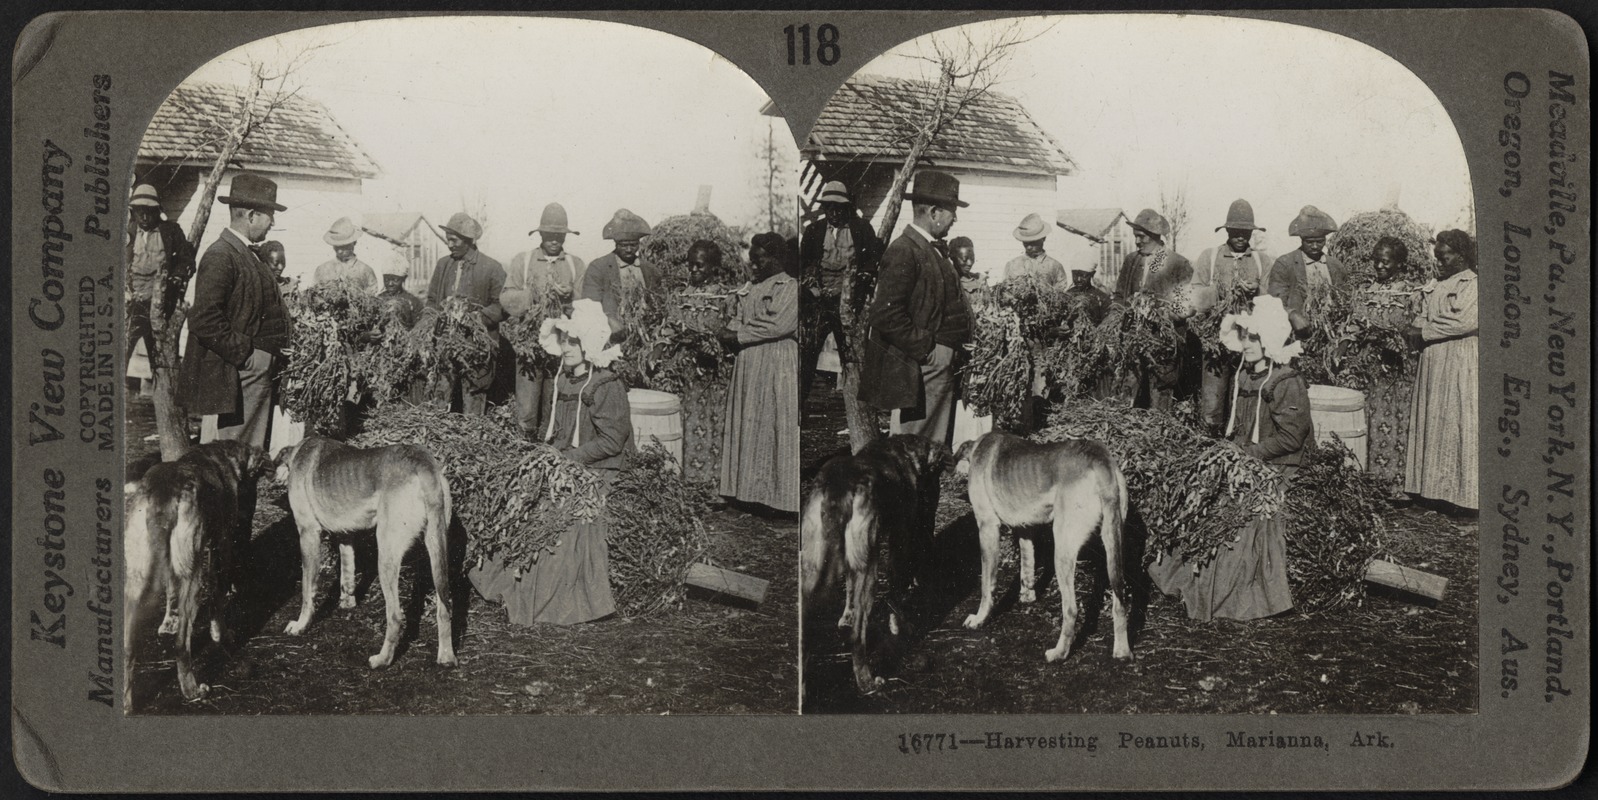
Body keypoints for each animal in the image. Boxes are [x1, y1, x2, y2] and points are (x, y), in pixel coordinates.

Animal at [124, 440, 271, 708]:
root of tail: (163, 491)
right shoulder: (221, 545)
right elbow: (217, 598)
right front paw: (221, 634)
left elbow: (171, 593)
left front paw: (168, 621)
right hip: (193, 579)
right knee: (181, 644)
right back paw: (192, 690)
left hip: (137, 580)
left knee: (129, 648)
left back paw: (127, 704)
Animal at [274, 437, 457, 667]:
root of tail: (421, 460)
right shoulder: (346, 536)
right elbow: (347, 574)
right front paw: (347, 603)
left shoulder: (308, 534)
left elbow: (308, 590)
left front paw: (301, 625)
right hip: (437, 548)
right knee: (445, 608)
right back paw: (446, 657)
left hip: (386, 554)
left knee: (395, 616)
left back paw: (383, 660)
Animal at [952, 431, 1131, 661]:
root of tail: (1098, 456)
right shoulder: (1026, 530)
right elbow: (1027, 567)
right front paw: (1027, 597)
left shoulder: (987, 526)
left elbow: (987, 585)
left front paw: (980, 618)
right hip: (1114, 544)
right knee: (1120, 603)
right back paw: (1122, 651)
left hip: (1062, 548)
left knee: (1071, 609)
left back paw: (1059, 653)